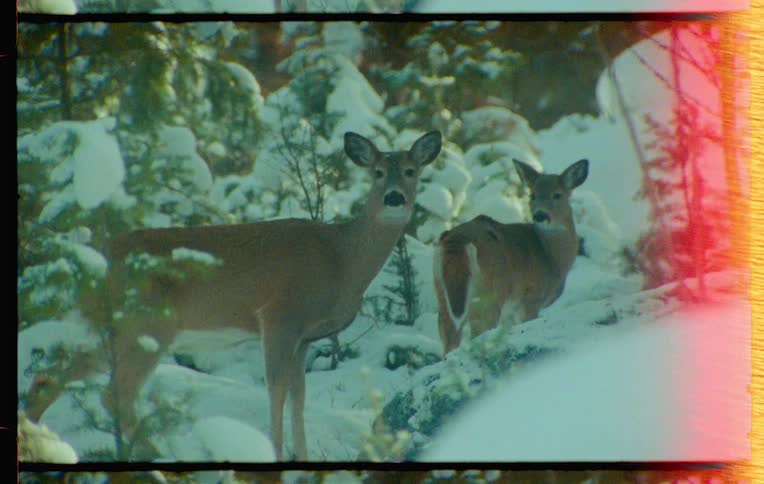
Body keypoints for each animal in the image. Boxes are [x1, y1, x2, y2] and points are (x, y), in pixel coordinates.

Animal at [24, 130, 442, 461]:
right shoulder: (279, 316)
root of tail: (92, 260)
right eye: (376, 173)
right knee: (115, 396)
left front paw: (304, 458)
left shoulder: (305, 337)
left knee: (49, 377)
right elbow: (276, 390)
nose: (393, 198)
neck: (341, 260)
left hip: (107, 327)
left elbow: (300, 396)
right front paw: (275, 456)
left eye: (412, 171)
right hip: (146, 322)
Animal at [433, 158, 589, 356]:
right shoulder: (531, 298)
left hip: (443, 294)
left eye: (557, 195)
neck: (552, 257)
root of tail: (458, 240)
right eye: (532, 195)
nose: (540, 215)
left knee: (448, 338)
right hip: (489, 297)